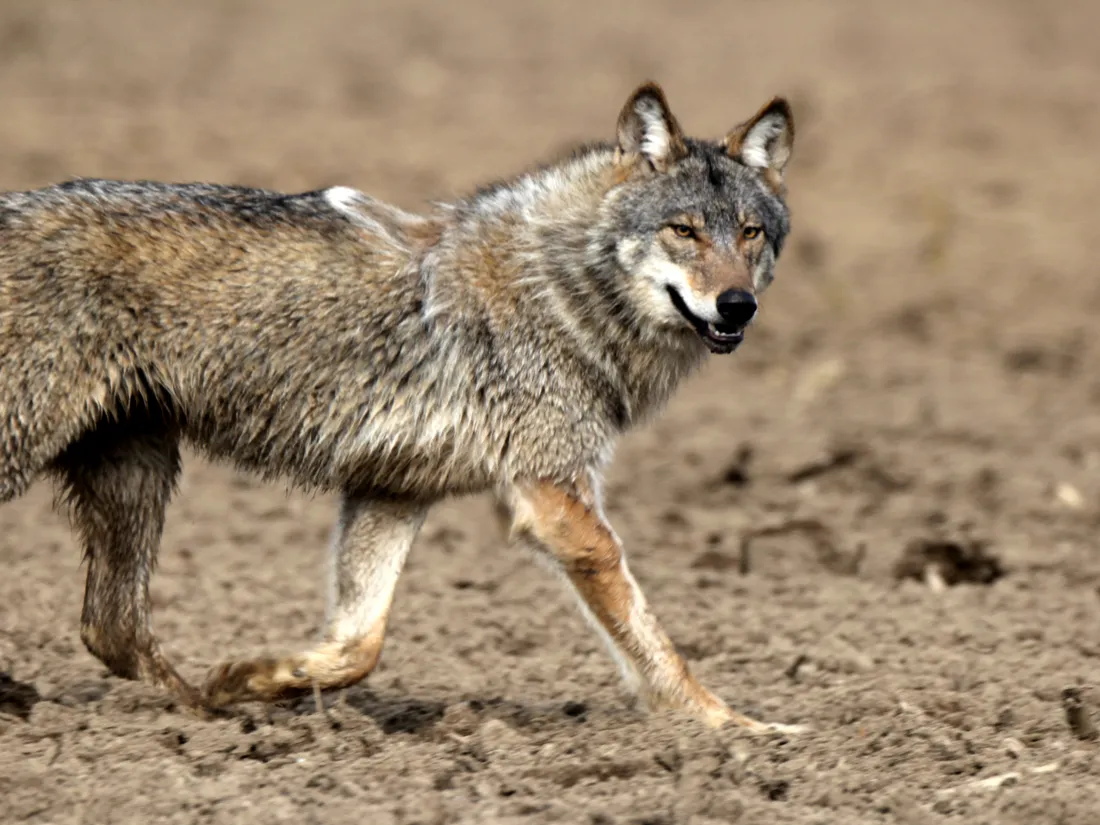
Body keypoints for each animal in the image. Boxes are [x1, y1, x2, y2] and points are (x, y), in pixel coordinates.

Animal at [0, 82, 798, 732]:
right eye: (684, 230)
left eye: (749, 233)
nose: (738, 305)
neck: (560, 287)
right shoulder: (554, 500)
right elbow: (651, 638)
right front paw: (731, 727)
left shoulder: (391, 492)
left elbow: (359, 645)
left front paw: (255, 679)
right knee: (111, 626)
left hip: (138, 474)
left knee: (110, 629)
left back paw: (203, 709)